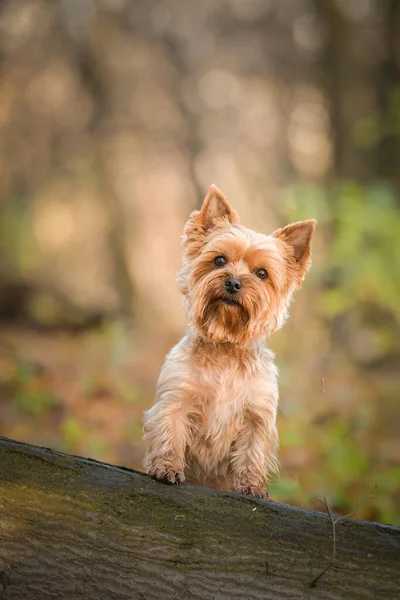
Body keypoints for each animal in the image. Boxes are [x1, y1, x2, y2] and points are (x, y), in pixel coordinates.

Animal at [144, 185, 316, 500]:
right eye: (219, 260)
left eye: (262, 273)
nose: (234, 282)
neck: (225, 343)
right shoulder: (177, 398)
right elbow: (169, 431)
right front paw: (167, 467)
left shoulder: (256, 416)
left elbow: (252, 451)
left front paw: (250, 485)